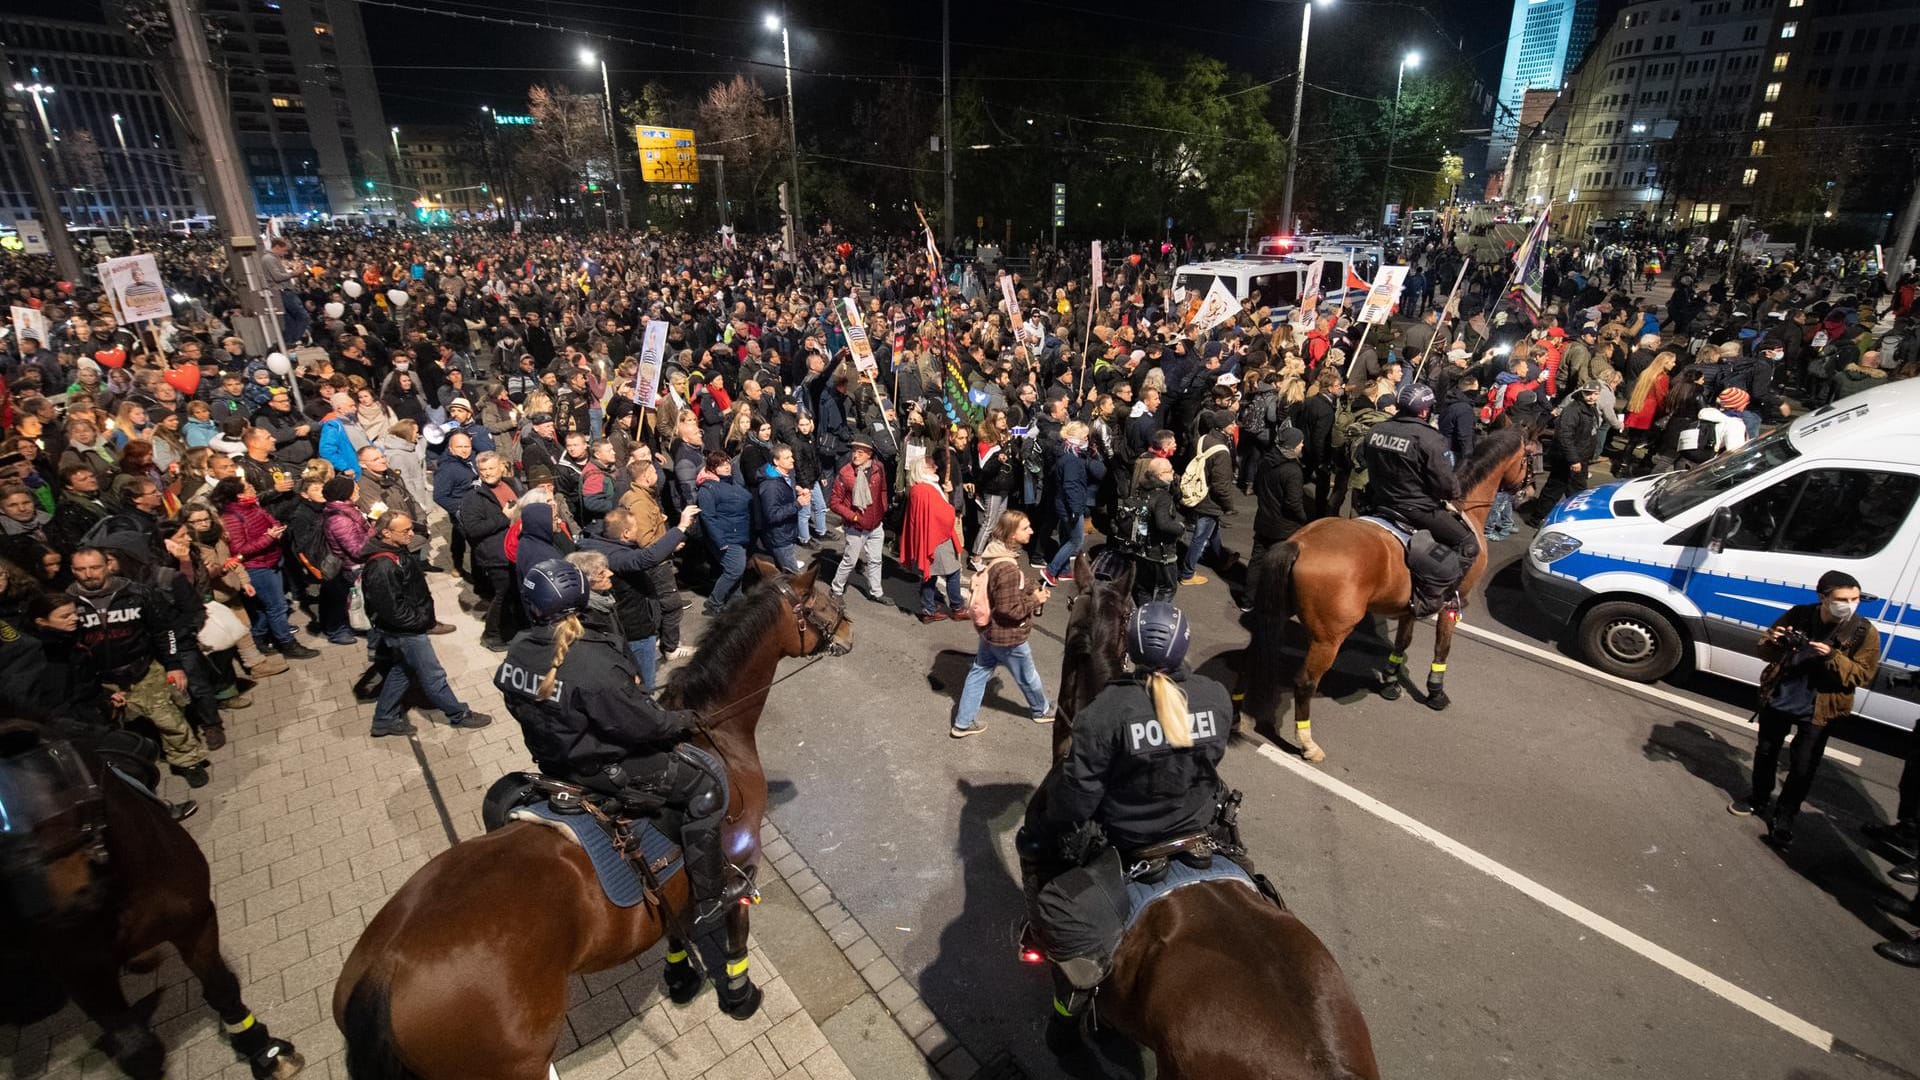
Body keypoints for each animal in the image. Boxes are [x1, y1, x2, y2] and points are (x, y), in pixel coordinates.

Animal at [0, 718, 303, 1076]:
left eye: (53, 779)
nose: (41, 912)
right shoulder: (81, 973)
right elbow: (136, 1045)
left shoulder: (196, 922)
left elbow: (221, 988)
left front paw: (260, 1047)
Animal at [334, 564, 852, 1076]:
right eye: (825, 602)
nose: (849, 629)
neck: (717, 736)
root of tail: (381, 976)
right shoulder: (740, 865)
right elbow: (734, 936)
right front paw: (741, 996)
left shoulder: (674, 882)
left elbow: (674, 925)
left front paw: (680, 976)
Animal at [1236, 424, 1536, 760]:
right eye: (1531, 456)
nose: (1529, 493)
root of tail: (1300, 543)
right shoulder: (1453, 604)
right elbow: (1441, 649)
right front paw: (1435, 692)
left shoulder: (1409, 606)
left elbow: (1402, 642)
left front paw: (1391, 682)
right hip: (1328, 639)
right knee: (1305, 683)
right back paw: (1308, 744)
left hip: (1274, 612)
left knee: (1251, 655)